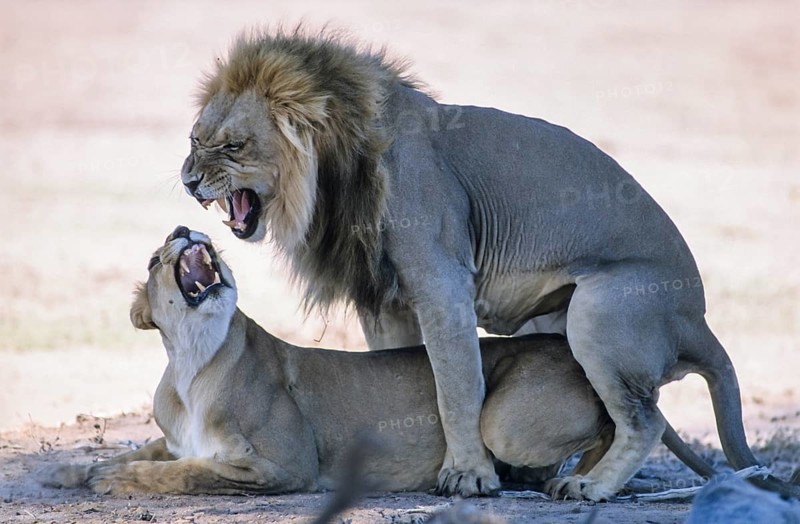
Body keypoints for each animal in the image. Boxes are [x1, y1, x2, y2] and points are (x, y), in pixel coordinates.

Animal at [178, 29, 798, 499]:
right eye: (194, 139)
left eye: (232, 146)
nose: (187, 182)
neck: (333, 170)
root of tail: (700, 319)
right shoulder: (385, 301)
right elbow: (404, 373)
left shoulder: (442, 280)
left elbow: (456, 387)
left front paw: (468, 477)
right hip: (552, 320)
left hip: (601, 309)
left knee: (647, 418)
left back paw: (589, 488)